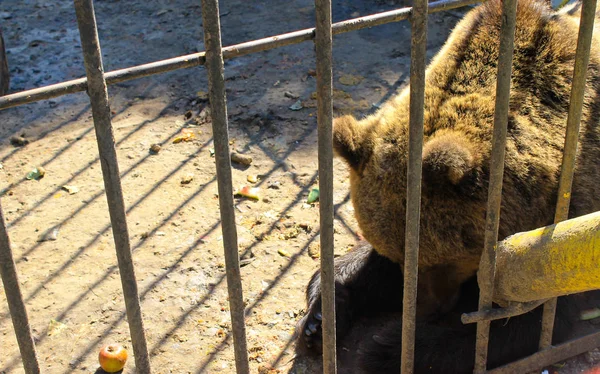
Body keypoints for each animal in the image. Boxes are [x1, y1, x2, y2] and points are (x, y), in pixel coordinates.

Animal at [298, 0, 600, 372]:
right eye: (399, 256)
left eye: (443, 261)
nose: (428, 309)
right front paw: (322, 314)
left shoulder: (568, 229)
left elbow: (529, 320)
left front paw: (392, 349)